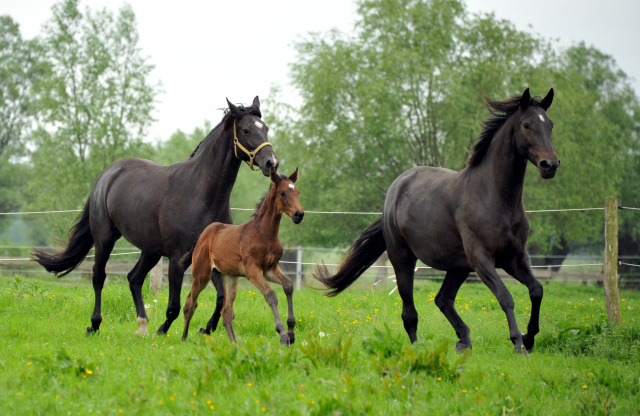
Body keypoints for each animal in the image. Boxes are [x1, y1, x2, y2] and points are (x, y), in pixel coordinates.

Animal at [32, 96, 278, 334]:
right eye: (245, 130)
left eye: (265, 128)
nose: (271, 162)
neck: (200, 195)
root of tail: (105, 177)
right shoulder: (177, 259)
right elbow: (174, 306)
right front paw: (163, 330)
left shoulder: (210, 258)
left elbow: (220, 298)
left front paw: (206, 329)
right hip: (105, 238)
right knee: (99, 276)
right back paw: (95, 324)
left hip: (150, 250)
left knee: (134, 278)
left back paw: (142, 325)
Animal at [181, 167, 304, 346]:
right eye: (282, 193)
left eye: (297, 192)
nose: (299, 214)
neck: (264, 234)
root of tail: (204, 234)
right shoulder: (252, 271)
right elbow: (271, 295)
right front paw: (282, 335)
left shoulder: (270, 269)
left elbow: (288, 285)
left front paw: (292, 332)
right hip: (201, 275)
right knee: (190, 303)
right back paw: (184, 337)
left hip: (230, 277)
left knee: (226, 311)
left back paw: (234, 343)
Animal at [318, 89, 556, 352]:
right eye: (526, 125)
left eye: (550, 125)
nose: (550, 165)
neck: (496, 197)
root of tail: (397, 187)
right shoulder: (482, 258)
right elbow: (506, 297)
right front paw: (518, 343)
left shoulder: (515, 257)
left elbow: (536, 290)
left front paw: (529, 337)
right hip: (403, 258)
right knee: (410, 313)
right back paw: (419, 349)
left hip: (458, 266)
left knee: (443, 299)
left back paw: (463, 341)